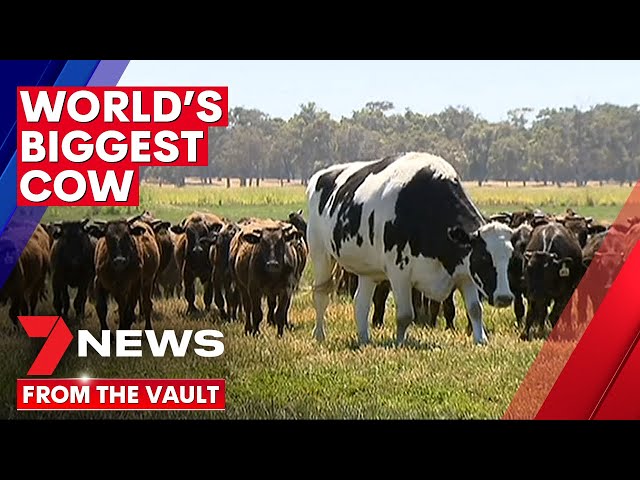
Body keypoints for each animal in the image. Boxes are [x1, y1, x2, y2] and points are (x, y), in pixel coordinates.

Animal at [306, 152, 515, 347]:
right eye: (484, 258)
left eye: (510, 259)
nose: (504, 297)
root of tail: (321, 174)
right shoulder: (399, 272)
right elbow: (405, 314)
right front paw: (400, 343)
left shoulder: (465, 271)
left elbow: (475, 309)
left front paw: (481, 340)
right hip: (320, 253)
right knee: (321, 295)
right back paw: (320, 335)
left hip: (368, 270)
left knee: (360, 303)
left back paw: (364, 339)